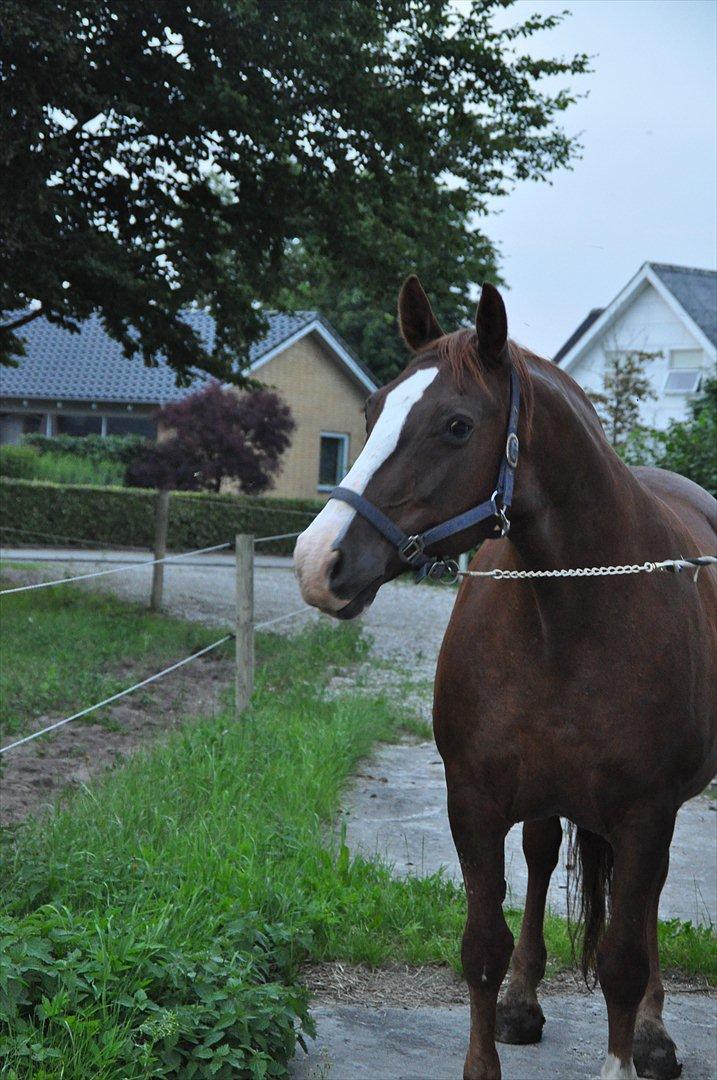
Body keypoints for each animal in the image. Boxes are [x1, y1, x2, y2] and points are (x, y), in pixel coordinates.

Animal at [293, 276, 717, 1080]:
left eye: (456, 426)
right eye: (372, 410)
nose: (316, 561)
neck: (571, 614)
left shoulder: (645, 811)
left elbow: (620, 960)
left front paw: (625, 1053)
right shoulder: (475, 801)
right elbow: (481, 949)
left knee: (644, 908)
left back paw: (651, 1033)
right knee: (544, 857)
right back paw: (526, 1000)